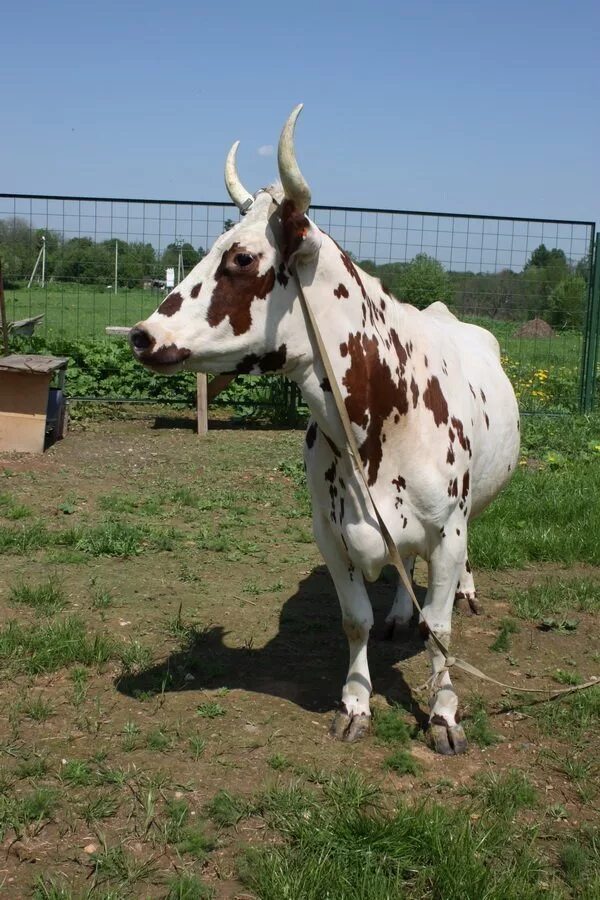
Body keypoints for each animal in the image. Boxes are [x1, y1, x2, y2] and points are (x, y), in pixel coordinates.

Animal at [130, 103, 520, 752]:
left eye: (241, 258)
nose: (141, 335)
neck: (379, 419)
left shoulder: (448, 531)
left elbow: (439, 630)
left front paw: (444, 712)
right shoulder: (329, 533)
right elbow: (354, 619)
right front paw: (356, 702)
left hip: (475, 506)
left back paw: (463, 592)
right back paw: (400, 612)